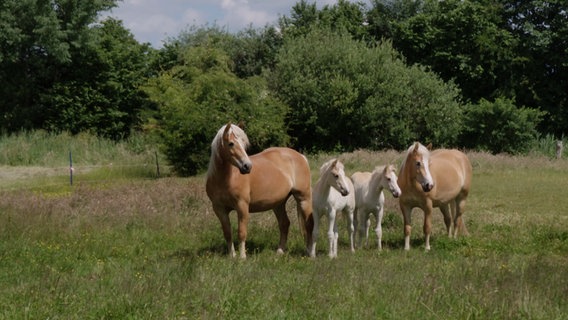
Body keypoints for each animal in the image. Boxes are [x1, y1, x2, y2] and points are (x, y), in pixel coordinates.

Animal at [205, 121, 312, 258]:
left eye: (244, 143)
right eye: (231, 143)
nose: (247, 166)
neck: (226, 180)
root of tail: (301, 156)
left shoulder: (242, 206)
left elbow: (241, 232)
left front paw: (242, 257)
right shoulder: (219, 209)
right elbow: (227, 233)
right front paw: (232, 256)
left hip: (304, 198)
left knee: (308, 224)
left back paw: (309, 252)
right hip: (278, 204)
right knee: (284, 224)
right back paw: (280, 251)